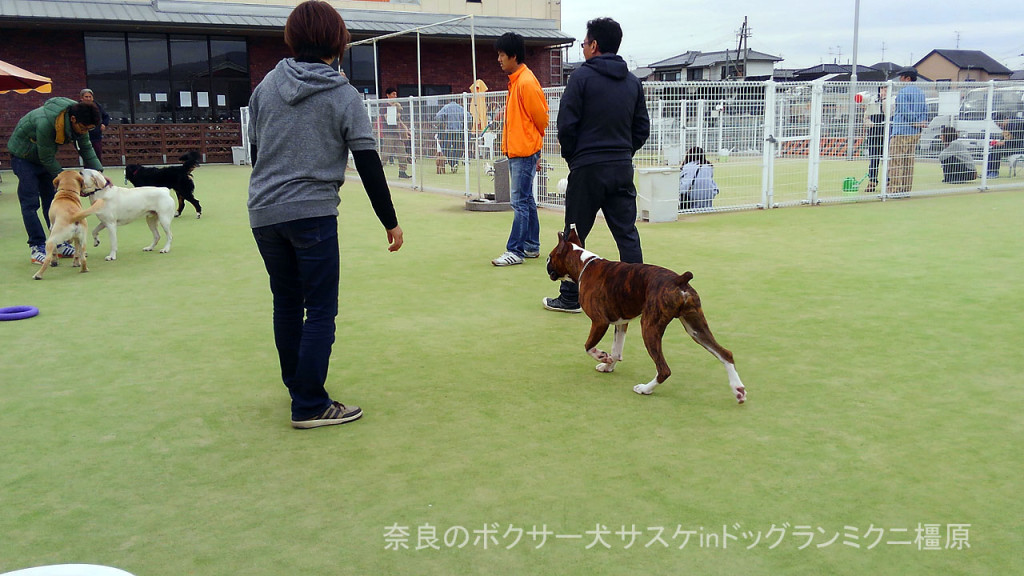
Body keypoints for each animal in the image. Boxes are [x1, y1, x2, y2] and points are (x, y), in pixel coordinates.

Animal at [548, 226, 749, 401]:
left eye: (550, 257)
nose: (546, 264)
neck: (584, 264)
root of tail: (679, 280)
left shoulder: (600, 321)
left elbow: (589, 346)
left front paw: (601, 356)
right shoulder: (621, 322)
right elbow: (616, 350)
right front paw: (608, 365)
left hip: (649, 326)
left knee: (664, 370)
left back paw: (645, 389)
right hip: (696, 327)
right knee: (725, 354)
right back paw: (738, 389)